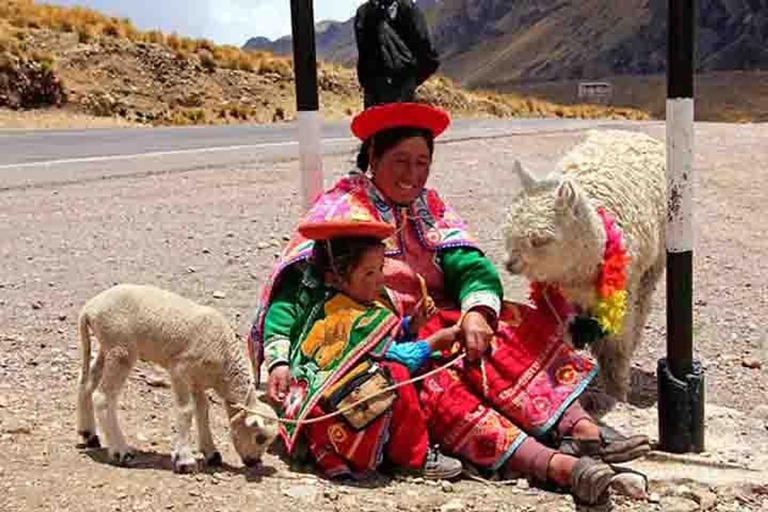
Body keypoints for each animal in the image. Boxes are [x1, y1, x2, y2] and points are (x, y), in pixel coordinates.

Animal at [75, 284, 278, 472]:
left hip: (108, 346)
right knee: (103, 397)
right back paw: (121, 451)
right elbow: (186, 411)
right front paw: (185, 460)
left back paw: (89, 434)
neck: (225, 368)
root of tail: (89, 308)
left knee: (86, 383)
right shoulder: (180, 369)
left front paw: (211, 453)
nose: (254, 462)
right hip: (121, 349)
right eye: (260, 438)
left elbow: (202, 410)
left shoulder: (197, 380)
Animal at [504, 130, 664, 402]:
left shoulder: (622, 291)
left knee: (642, 305)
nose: (510, 264)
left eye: (541, 239)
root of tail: (630, 133)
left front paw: (616, 393)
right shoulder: (560, 292)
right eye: (508, 232)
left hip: (656, 259)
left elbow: (615, 347)